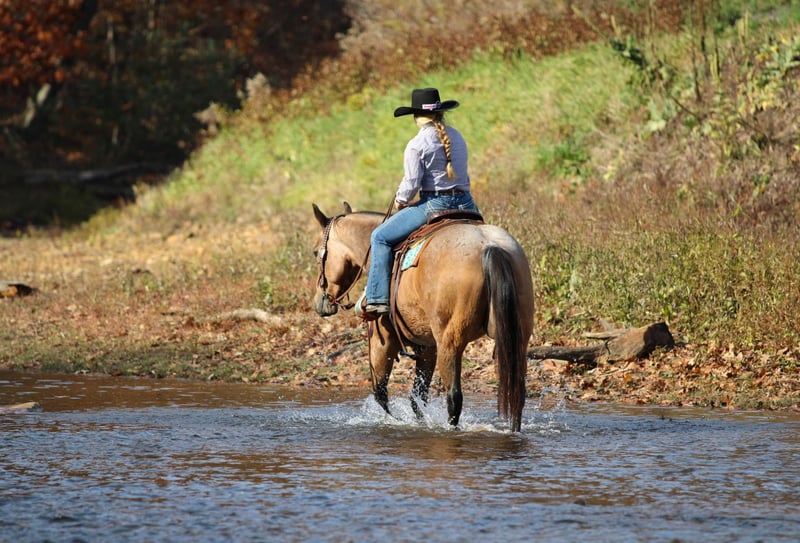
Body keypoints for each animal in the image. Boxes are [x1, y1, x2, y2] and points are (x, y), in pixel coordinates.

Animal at [311, 201, 534, 432]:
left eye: (316, 252)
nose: (320, 302)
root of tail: (489, 246)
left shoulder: (382, 340)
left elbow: (380, 393)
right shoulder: (428, 346)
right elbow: (417, 397)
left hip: (449, 343)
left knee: (454, 397)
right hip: (516, 339)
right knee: (517, 394)